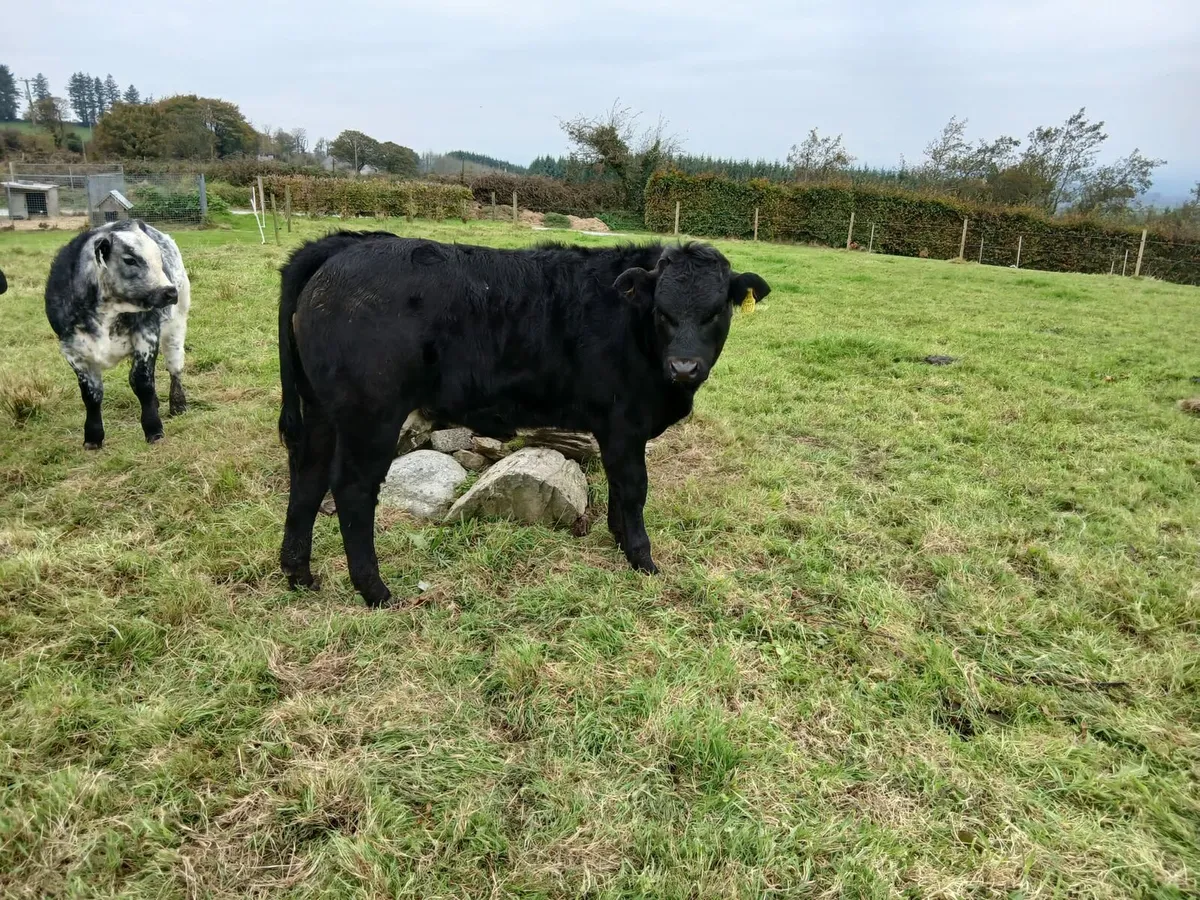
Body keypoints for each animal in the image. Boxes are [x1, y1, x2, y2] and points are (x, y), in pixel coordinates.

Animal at [44, 220, 191, 449]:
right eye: (129, 259)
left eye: (159, 257)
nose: (169, 291)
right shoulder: (72, 351)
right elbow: (91, 395)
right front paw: (93, 437)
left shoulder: (147, 336)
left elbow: (142, 382)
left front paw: (153, 429)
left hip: (176, 327)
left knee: (174, 367)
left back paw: (178, 404)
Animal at [277, 231, 770, 607]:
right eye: (663, 313)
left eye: (715, 312)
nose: (684, 367)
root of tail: (346, 245)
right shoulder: (624, 422)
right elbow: (633, 489)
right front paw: (642, 559)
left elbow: (619, 488)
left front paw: (619, 541)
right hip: (370, 415)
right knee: (352, 489)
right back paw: (375, 591)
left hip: (320, 409)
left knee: (308, 475)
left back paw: (299, 574)